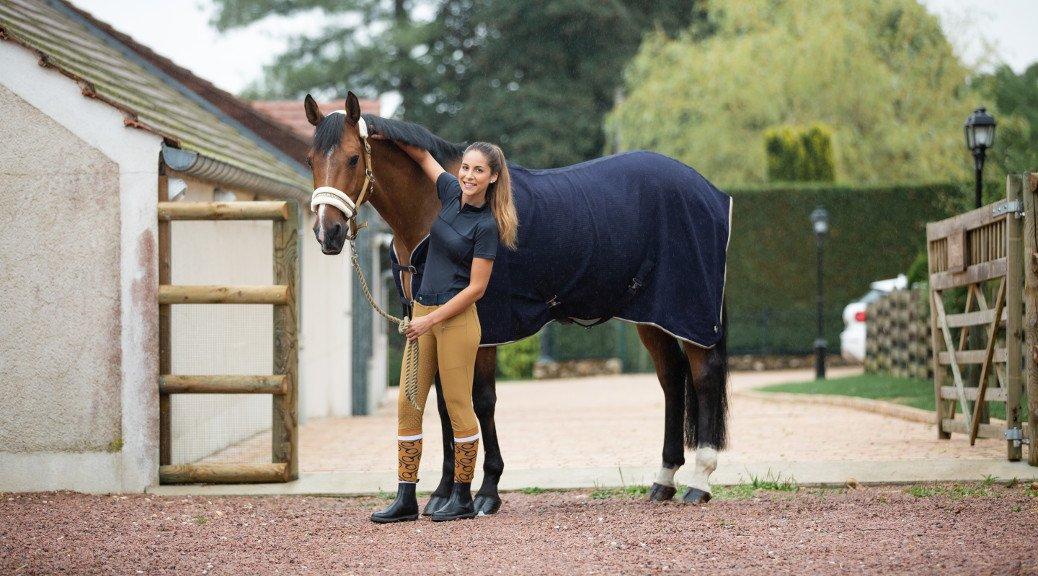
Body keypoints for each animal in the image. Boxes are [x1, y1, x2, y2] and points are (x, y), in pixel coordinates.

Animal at [306, 92, 731, 514]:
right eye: (311, 160)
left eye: (353, 158)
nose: (328, 232)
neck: (439, 209)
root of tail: (708, 191)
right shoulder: (433, 326)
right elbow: (445, 406)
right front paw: (443, 494)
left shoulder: (484, 329)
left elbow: (480, 401)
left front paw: (485, 493)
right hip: (653, 316)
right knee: (672, 379)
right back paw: (663, 481)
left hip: (689, 310)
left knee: (703, 375)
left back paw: (699, 481)